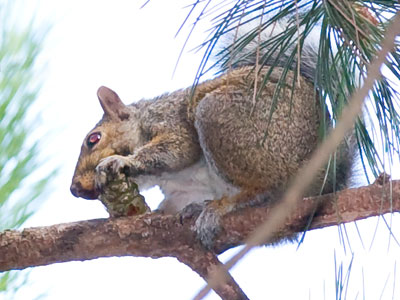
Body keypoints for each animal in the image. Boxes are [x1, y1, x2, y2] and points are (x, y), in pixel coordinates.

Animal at [70, 18, 354, 248]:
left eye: (93, 139)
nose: (74, 189)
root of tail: (326, 172)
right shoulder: (181, 192)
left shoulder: (171, 121)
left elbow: (177, 150)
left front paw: (120, 161)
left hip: (225, 121)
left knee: (266, 190)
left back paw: (221, 207)